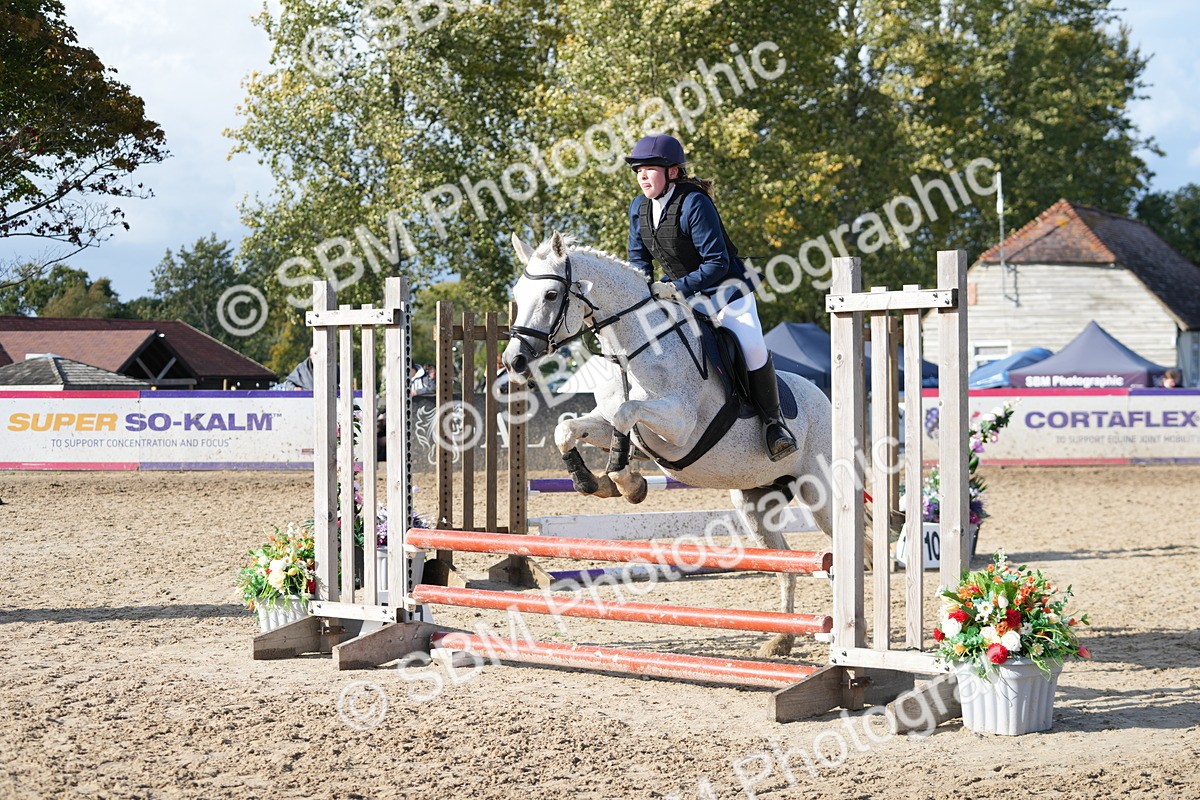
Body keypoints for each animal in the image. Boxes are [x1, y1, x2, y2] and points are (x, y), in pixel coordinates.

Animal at [502, 232, 837, 658]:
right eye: (516, 294)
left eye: (549, 294)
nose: (513, 361)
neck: (634, 347)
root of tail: (824, 398)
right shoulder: (608, 420)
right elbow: (570, 429)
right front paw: (596, 482)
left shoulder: (679, 428)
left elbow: (627, 413)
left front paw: (627, 482)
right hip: (755, 503)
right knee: (787, 565)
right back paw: (781, 640)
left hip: (821, 495)